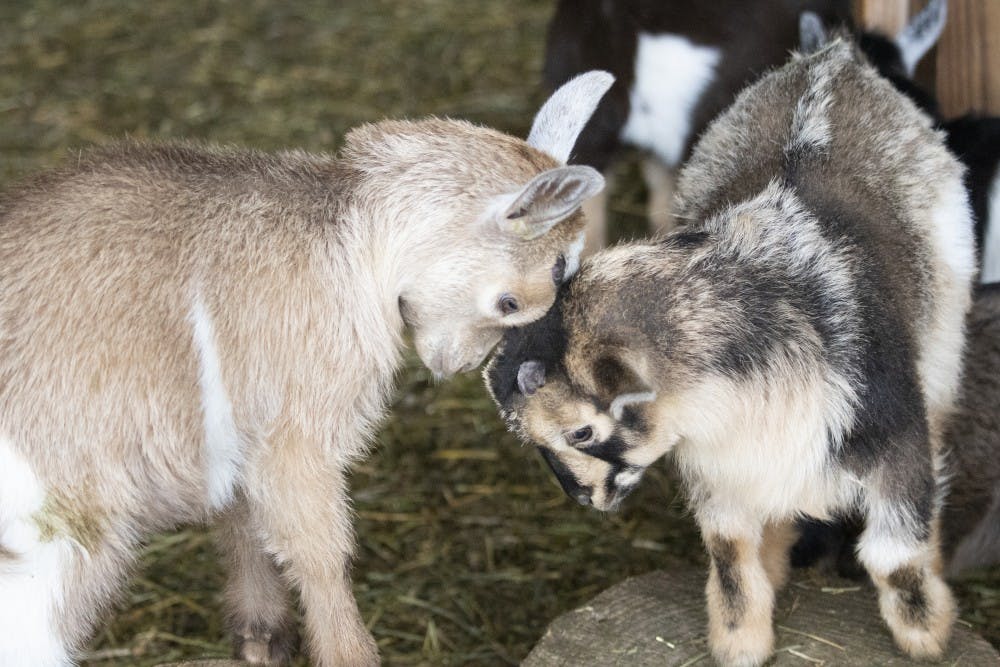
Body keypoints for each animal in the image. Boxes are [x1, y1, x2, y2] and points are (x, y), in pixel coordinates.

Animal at [0, 72, 613, 666]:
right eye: (512, 302)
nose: (456, 365)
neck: (353, 245)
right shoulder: (296, 427)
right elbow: (318, 553)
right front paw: (348, 654)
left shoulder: (237, 425)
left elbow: (243, 522)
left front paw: (261, 638)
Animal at [487, 41, 975, 665]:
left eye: (580, 430)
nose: (585, 498)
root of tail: (834, 57)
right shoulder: (720, 469)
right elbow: (729, 554)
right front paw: (740, 641)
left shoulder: (894, 441)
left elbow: (894, 556)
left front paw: (926, 634)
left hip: (941, 351)